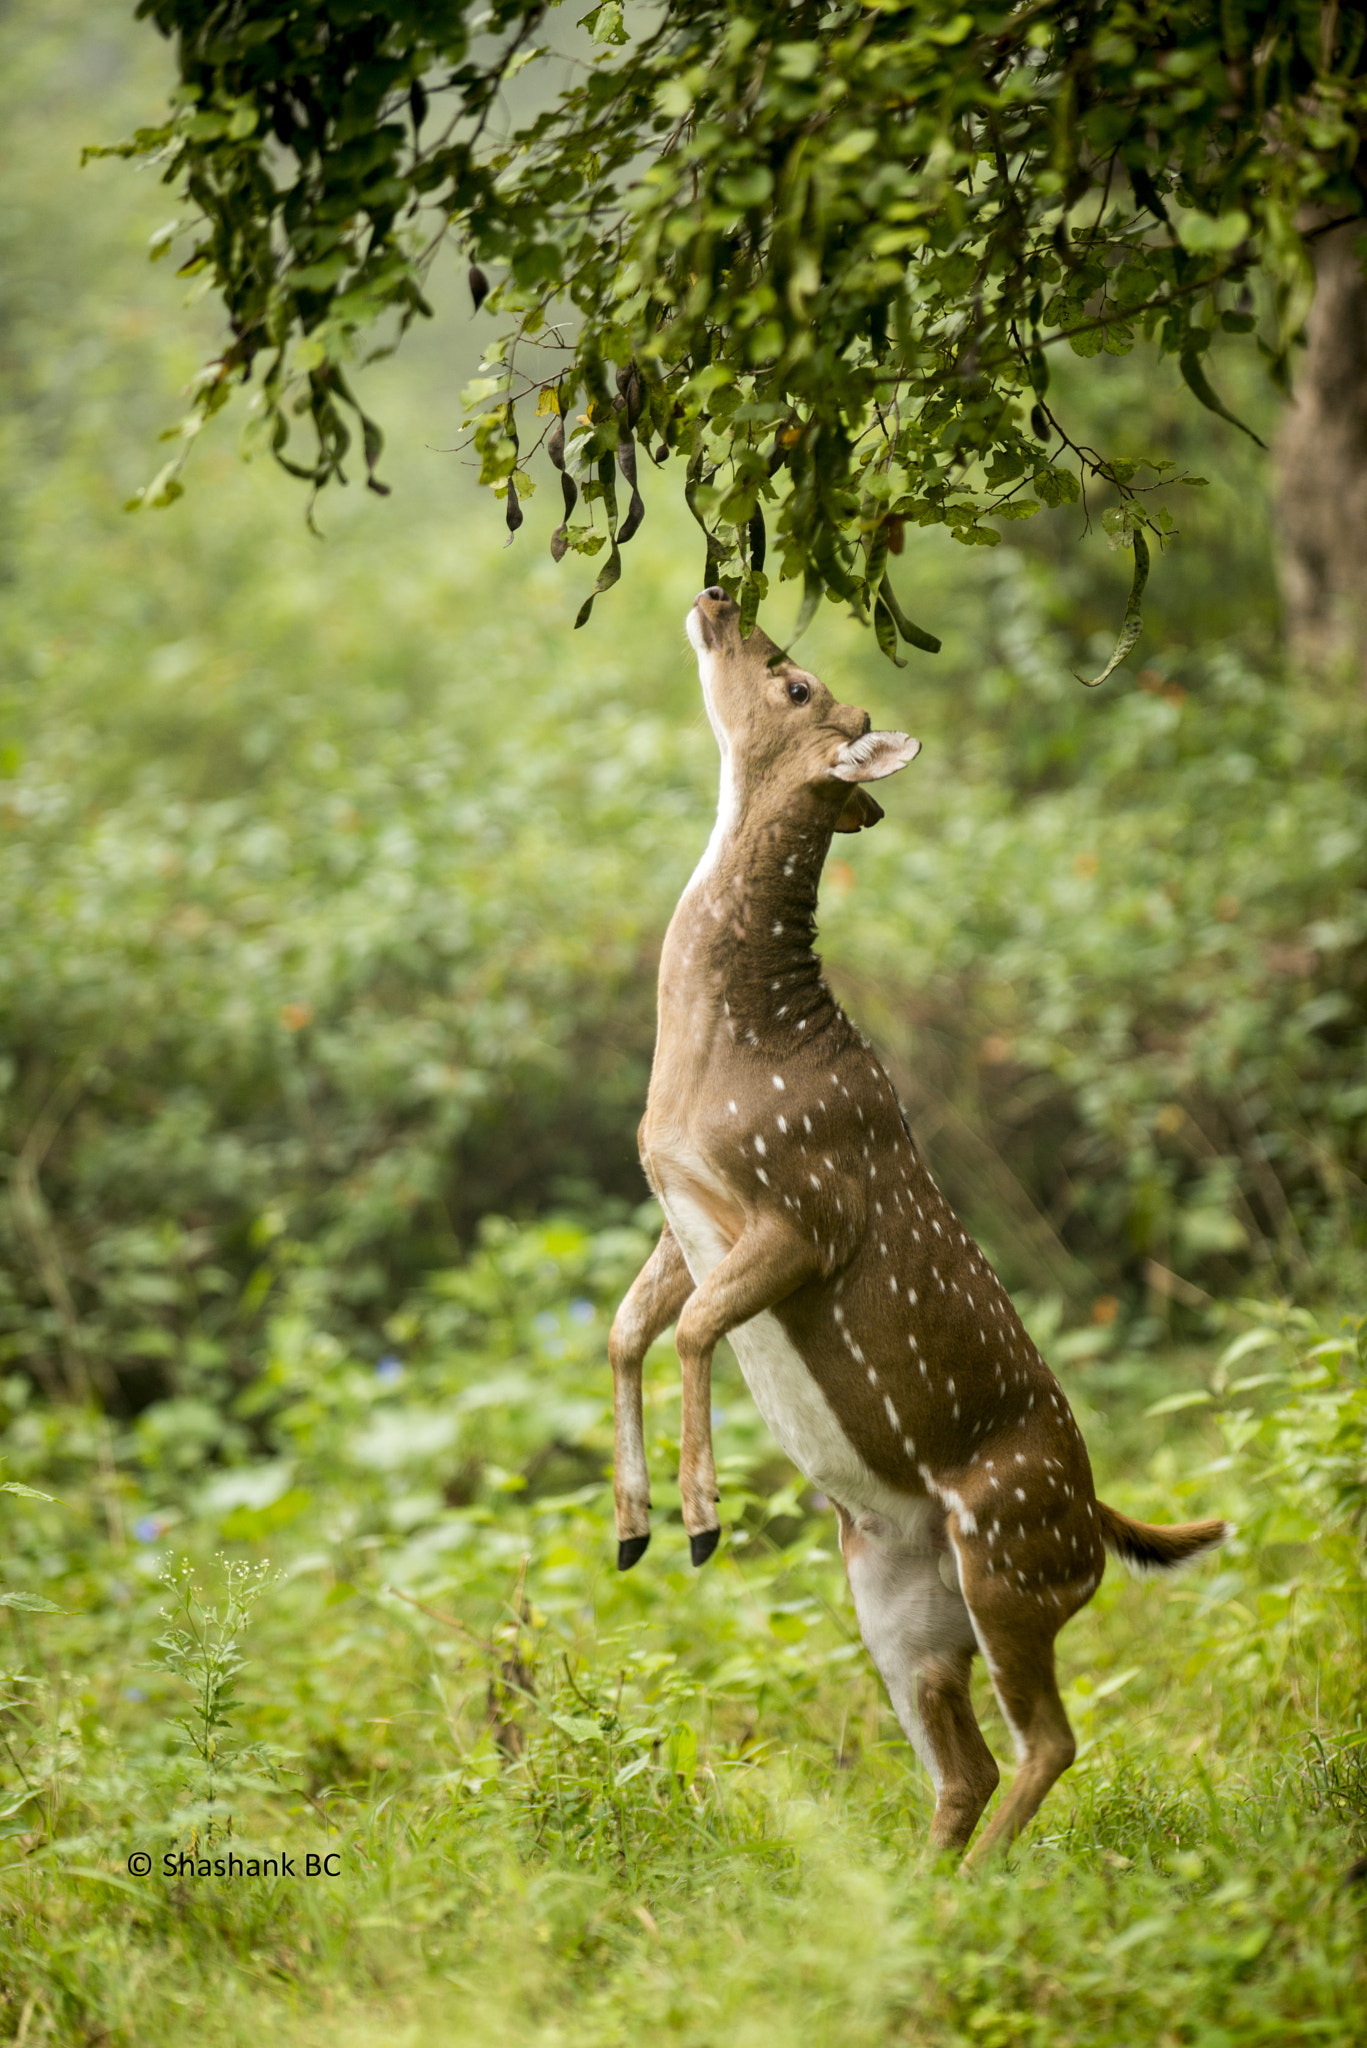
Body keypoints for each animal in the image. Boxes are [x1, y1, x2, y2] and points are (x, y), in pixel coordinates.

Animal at [610, 585, 1229, 1867]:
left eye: (795, 681)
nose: (717, 593)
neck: (712, 1066)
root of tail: (1099, 1523)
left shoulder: (805, 1207)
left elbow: (689, 1329)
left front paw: (698, 1520)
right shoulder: (677, 1208)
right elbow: (629, 1328)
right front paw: (630, 1526)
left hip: (1005, 1552)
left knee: (1050, 1738)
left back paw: (988, 1881)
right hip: (895, 1593)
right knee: (968, 1760)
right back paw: (919, 1886)